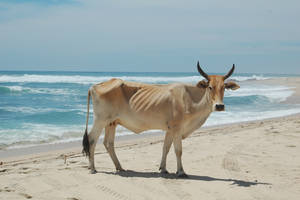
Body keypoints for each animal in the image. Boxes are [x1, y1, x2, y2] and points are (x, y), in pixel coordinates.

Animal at [81, 61, 239, 177]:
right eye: (210, 87)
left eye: (224, 87)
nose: (219, 106)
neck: (189, 99)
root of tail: (95, 85)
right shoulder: (177, 128)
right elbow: (178, 150)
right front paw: (181, 171)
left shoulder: (170, 129)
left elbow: (166, 148)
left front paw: (163, 169)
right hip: (100, 120)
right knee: (92, 140)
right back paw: (93, 168)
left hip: (111, 123)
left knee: (108, 143)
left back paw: (119, 167)